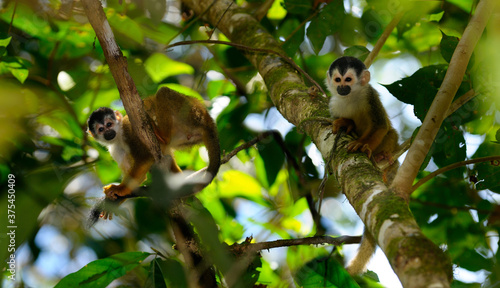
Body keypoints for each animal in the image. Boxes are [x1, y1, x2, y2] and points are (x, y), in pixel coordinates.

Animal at [87, 85, 220, 214]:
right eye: (101, 129)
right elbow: (140, 178)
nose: (108, 132)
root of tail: (207, 119)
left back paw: (162, 135)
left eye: (109, 124)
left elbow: (145, 158)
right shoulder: (115, 150)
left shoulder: (129, 128)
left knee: (163, 92)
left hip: (191, 115)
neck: (119, 136)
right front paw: (115, 201)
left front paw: (119, 189)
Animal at [326, 56, 400, 274]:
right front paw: (345, 123)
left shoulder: (370, 95)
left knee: (390, 133)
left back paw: (382, 157)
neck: (350, 97)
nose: (341, 87)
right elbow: (341, 118)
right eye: (338, 79)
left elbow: (381, 126)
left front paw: (361, 144)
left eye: (348, 79)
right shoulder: (334, 103)